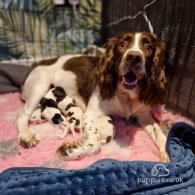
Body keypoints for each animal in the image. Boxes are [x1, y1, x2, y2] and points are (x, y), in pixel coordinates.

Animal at [16, 31, 170, 161]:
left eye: (149, 48)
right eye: (122, 45)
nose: (134, 58)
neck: (126, 95)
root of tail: (37, 63)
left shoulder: (144, 114)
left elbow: (160, 133)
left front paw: (168, 153)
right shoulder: (91, 114)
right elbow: (94, 143)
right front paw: (69, 150)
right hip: (40, 84)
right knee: (22, 116)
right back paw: (26, 135)